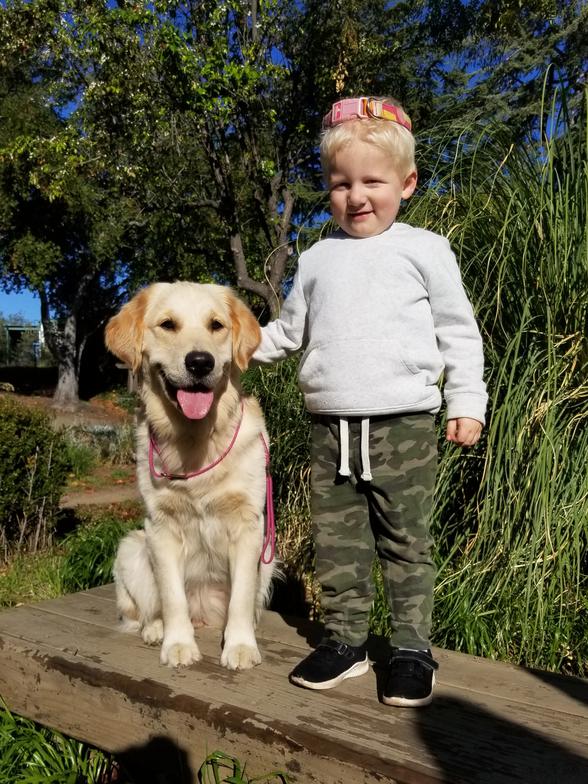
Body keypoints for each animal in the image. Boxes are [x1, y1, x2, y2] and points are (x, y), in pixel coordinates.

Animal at [105, 282, 276, 670]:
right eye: (168, 324)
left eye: (216, 325)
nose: (200, 362)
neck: (195, 439)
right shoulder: (160, 527)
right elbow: (172, 596)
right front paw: (178, 644)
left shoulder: (249, 526)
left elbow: (241, 597)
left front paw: (240, 646)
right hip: (131, 547)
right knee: (146, 611)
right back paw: (156, 630)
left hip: (269, 556)